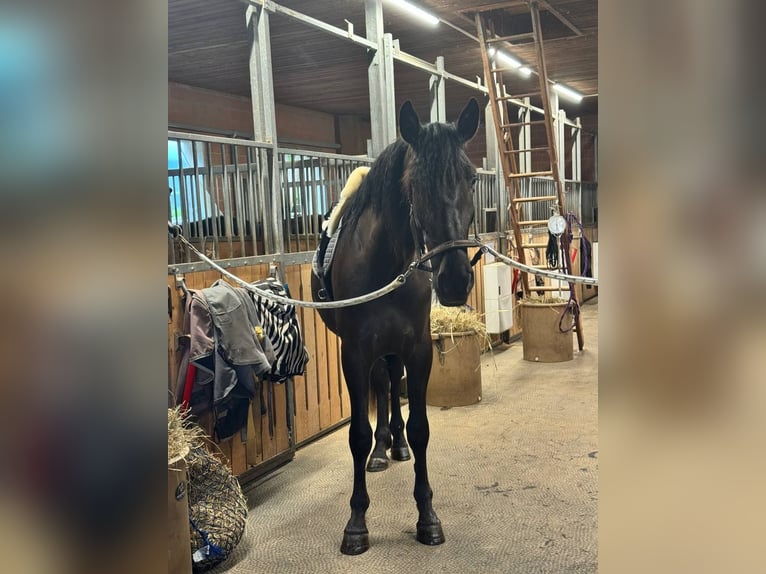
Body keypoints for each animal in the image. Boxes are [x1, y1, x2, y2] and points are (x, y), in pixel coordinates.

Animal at [311, 97, 480, 555]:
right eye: (415, 183)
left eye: (472, 178)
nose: (455, 280)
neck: (387, 263)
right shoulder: (353, 353)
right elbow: (356, 434)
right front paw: (356, 524)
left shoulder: (418, 350)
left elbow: (421, 429)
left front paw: (428, 517)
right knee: (383, 388)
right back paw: (381, 450)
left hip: (393, 349)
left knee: (390, 382)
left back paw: (396, 445)